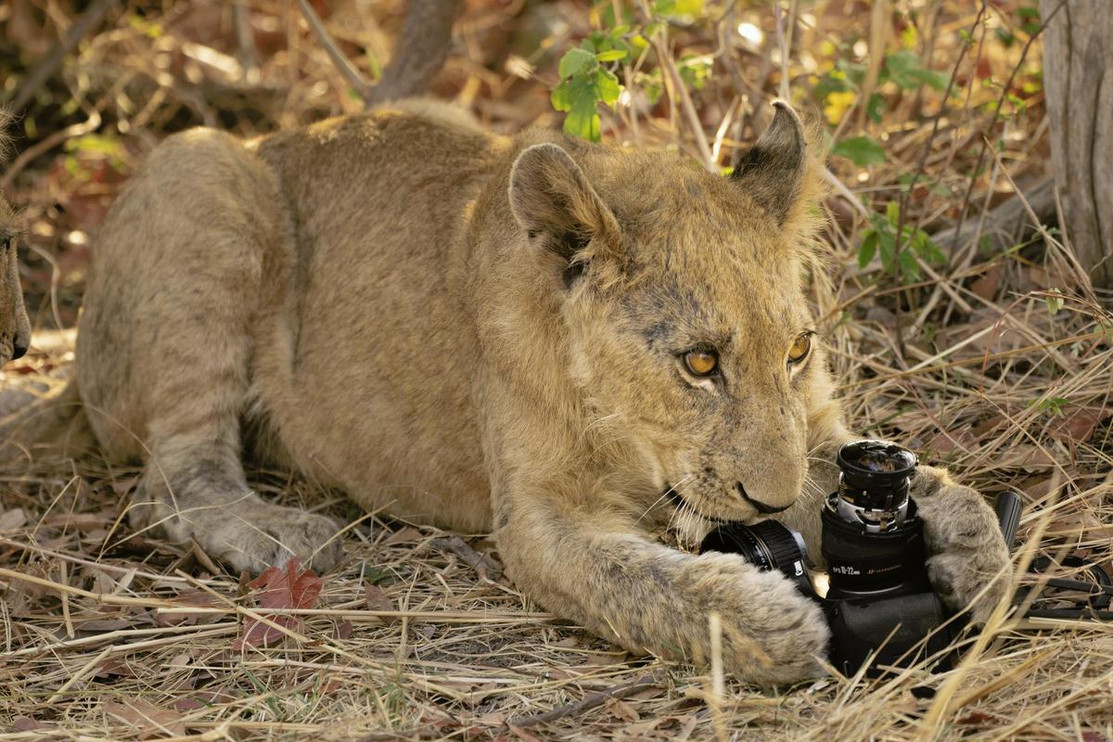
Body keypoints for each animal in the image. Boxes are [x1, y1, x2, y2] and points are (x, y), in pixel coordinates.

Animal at [4, 101, 1010, 685]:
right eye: (697, 364)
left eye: (797, 349)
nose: (768, 500)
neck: (629, 434)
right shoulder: (534, 523)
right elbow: (635, 581)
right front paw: (765, 620)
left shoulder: (806, 432)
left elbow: (888, 480)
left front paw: (976, 551)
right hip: (202, 170)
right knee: (171, 481)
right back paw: (282, 535)